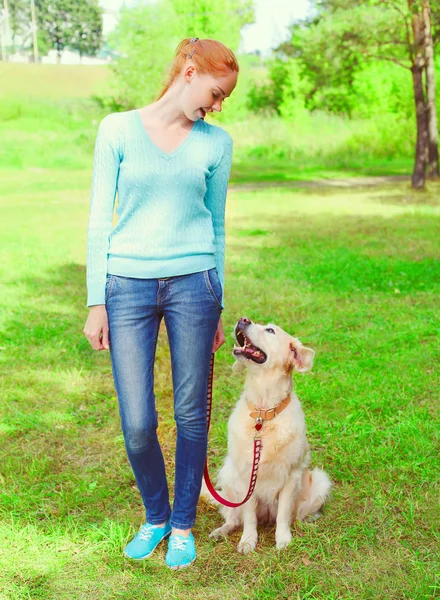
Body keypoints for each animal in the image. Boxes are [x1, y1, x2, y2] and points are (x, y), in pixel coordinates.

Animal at [199, 316, 330, 556]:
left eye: (270, 330)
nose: (243, 319)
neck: (263, 412)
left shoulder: (291, 475)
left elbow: (284, 515)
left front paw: (283, 540)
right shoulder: (245, 476)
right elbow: (249, 516)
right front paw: (248, 541)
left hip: (319, 480)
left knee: (297, 515)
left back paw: (307, 523)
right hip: (229, 475)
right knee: (233, 518)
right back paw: (221, 531)